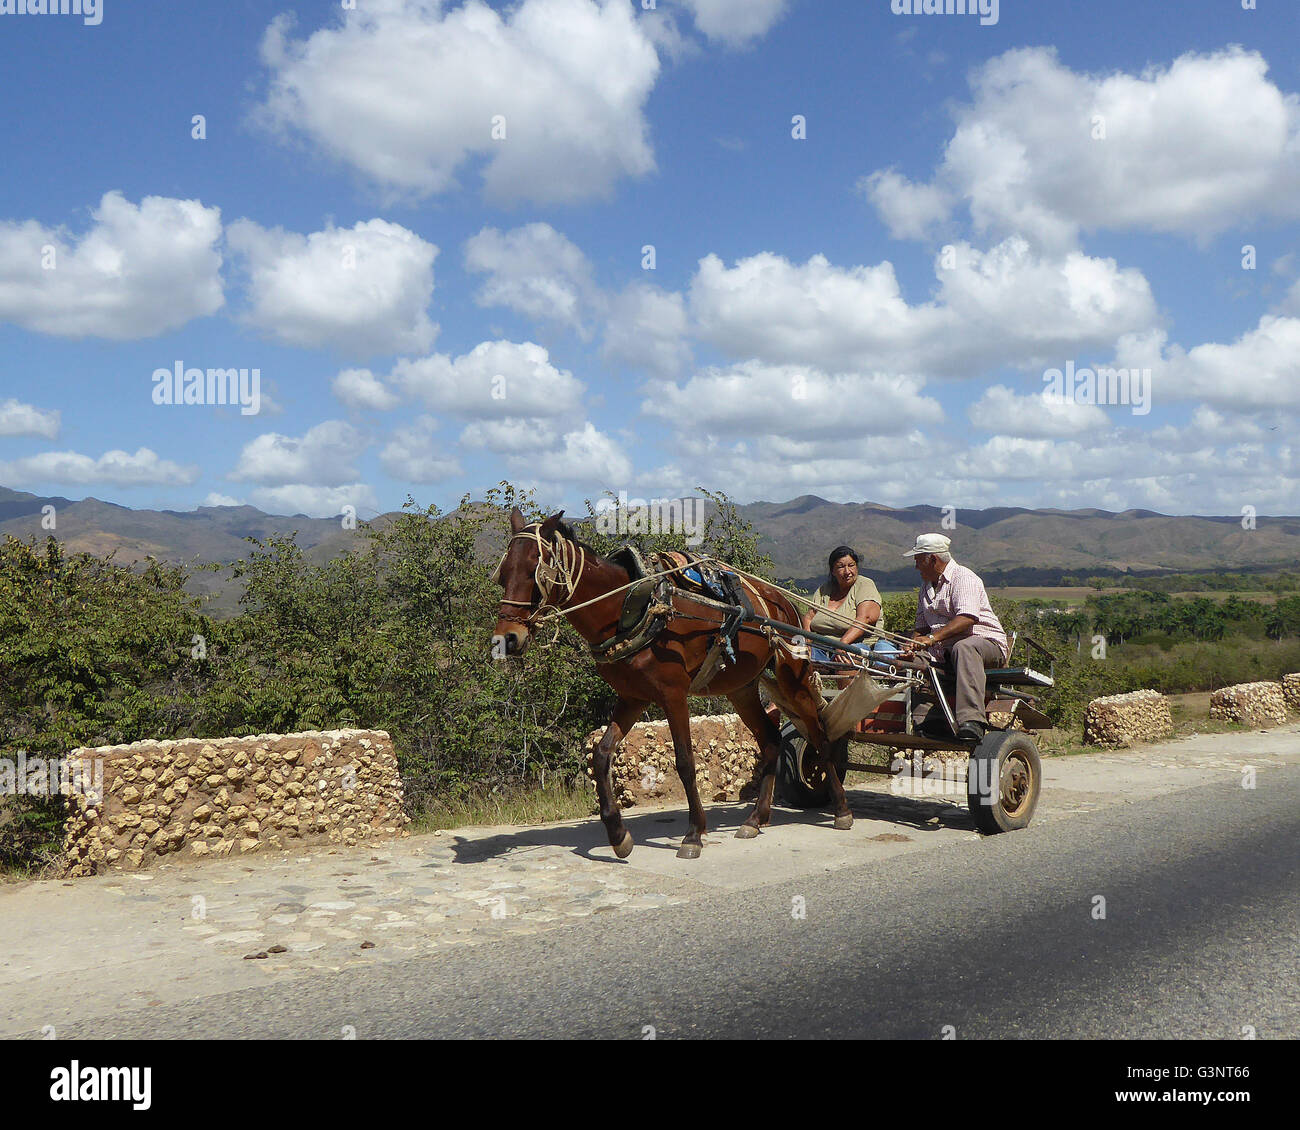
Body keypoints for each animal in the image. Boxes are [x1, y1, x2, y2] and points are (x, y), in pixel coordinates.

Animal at [488, 507, 842, 858]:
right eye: (503, 574)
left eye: (534, 572)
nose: (507, 638)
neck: (630, 605)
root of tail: (783, 603)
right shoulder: (633, 697)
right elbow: (602, 755)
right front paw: (618, 834)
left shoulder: (673, 694)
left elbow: (685, 762)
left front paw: (694, 834)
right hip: (741, 688)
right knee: (770, 740)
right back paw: (756, 819)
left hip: (792, 679)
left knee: (819, 735)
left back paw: (840, 809)